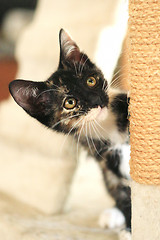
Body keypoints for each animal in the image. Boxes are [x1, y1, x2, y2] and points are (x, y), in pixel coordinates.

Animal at [9, 28, 130, 231]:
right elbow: (122, 190)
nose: (98, 101)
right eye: (70, 103)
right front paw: (129, 227)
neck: (107, 126)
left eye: (91, 81)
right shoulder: (104, 157)